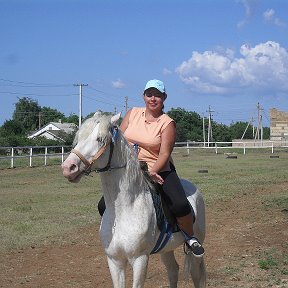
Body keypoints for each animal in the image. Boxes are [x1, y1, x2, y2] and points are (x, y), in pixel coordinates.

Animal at [62, 111, 207, 286]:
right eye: (79, 138)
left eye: (100, 139)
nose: (68, 167)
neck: (125, 209)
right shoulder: (114, 261)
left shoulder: (139, 259)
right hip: (167, 248)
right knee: (173, 270)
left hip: (196, 248)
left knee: (196, 275)